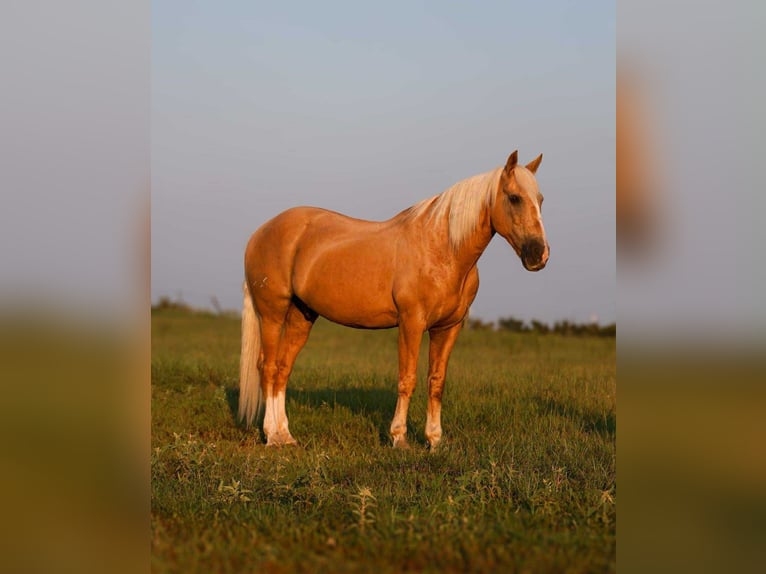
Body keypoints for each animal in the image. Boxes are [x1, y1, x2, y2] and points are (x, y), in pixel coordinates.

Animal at [239, 150, 549, 449]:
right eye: (514, 198)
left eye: (540, 200)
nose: (539, 255)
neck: (443, 249)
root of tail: (260, 232)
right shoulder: (411, 323)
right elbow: (407, 378)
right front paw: (399, 438)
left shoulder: (448, 328)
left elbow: (437, 382)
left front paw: (435, 441)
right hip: (272, 313)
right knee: (267, 368)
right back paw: (272, 437)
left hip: (301, 315)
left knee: (282, 369)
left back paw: (286, 435)